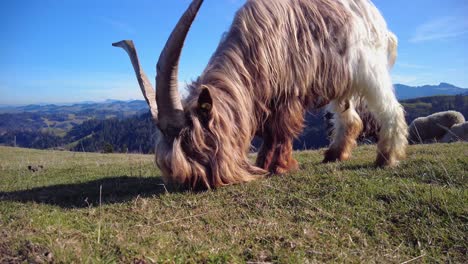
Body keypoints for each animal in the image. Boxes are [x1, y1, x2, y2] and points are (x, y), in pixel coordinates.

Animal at [112, 0, 406, 190]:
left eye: (194, 146)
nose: (190, 183)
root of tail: (378, 19)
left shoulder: (288, 93)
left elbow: (281, 130)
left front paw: (279, 167)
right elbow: (270, 133)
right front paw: (265, 163)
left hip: (369, 67)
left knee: (390, 109)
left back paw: (386, 158)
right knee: (350, 118)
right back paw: (334, 154)